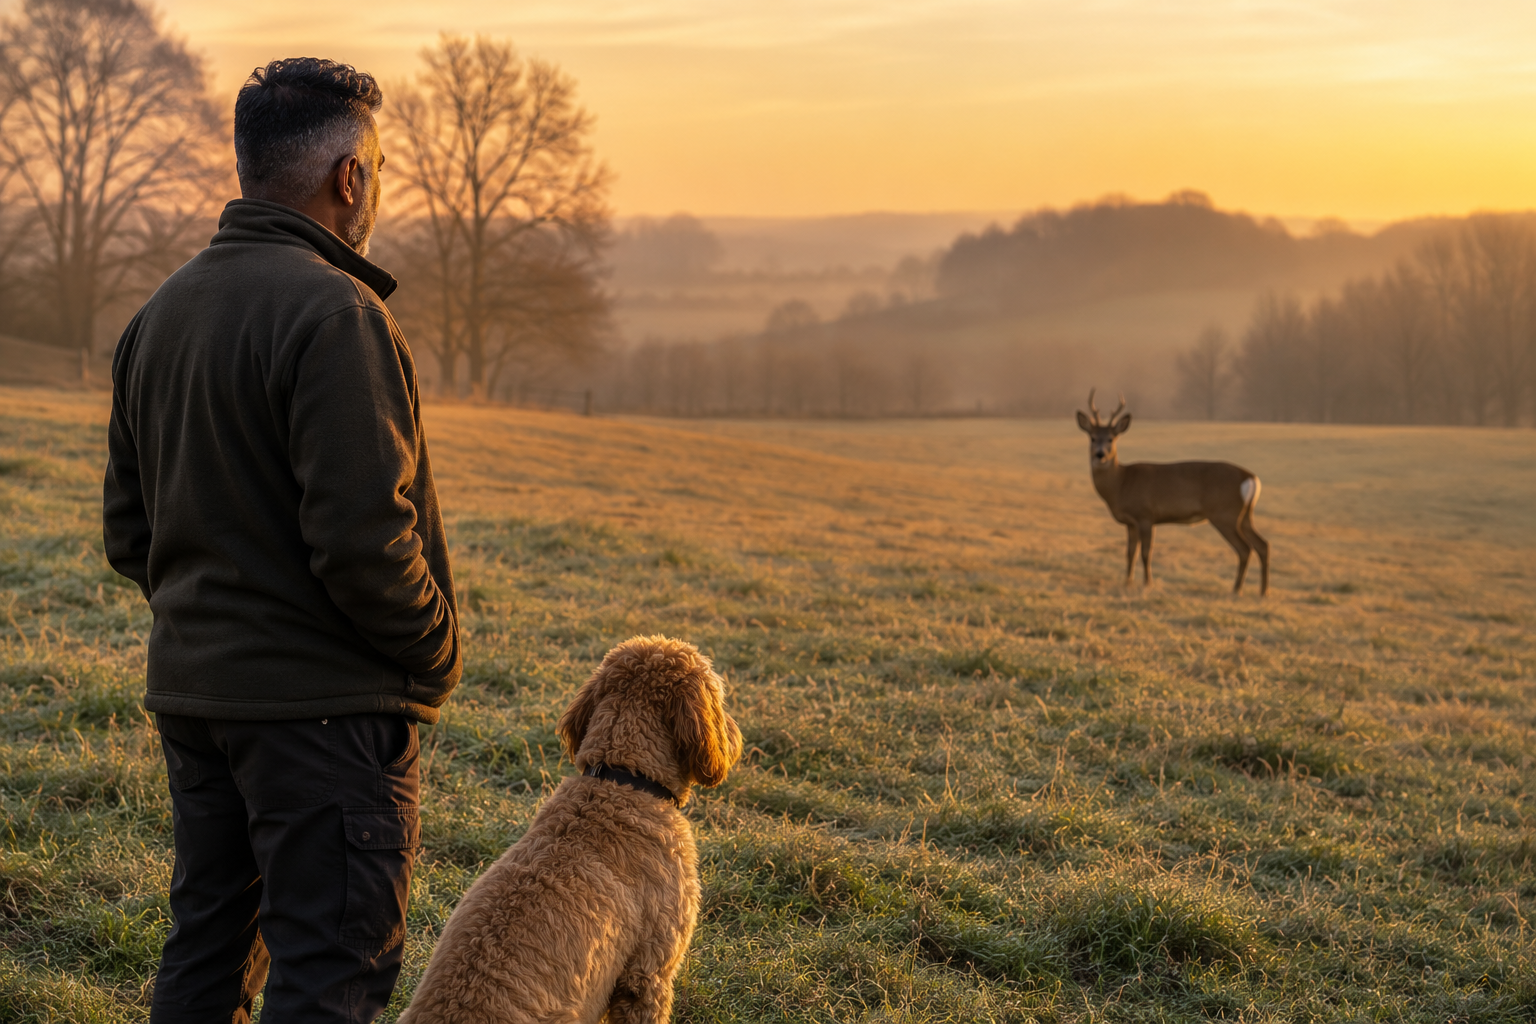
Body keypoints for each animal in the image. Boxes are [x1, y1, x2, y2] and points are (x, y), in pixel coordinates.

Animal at [1076, 390, 1269, 595]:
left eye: (1111, 439)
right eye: (1092, 437)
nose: (1100, 454)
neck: (1121, 483)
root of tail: (1250, 477)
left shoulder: (1146, 515)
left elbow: (1145, 552)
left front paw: (1148, 583)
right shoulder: (1131, 522)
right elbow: (1130, 553)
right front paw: (1127, 583)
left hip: (1225, 514)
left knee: (1245, 548)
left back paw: (1236, 589)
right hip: (1244, 515)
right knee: (1262, 544)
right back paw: (1263, 591)